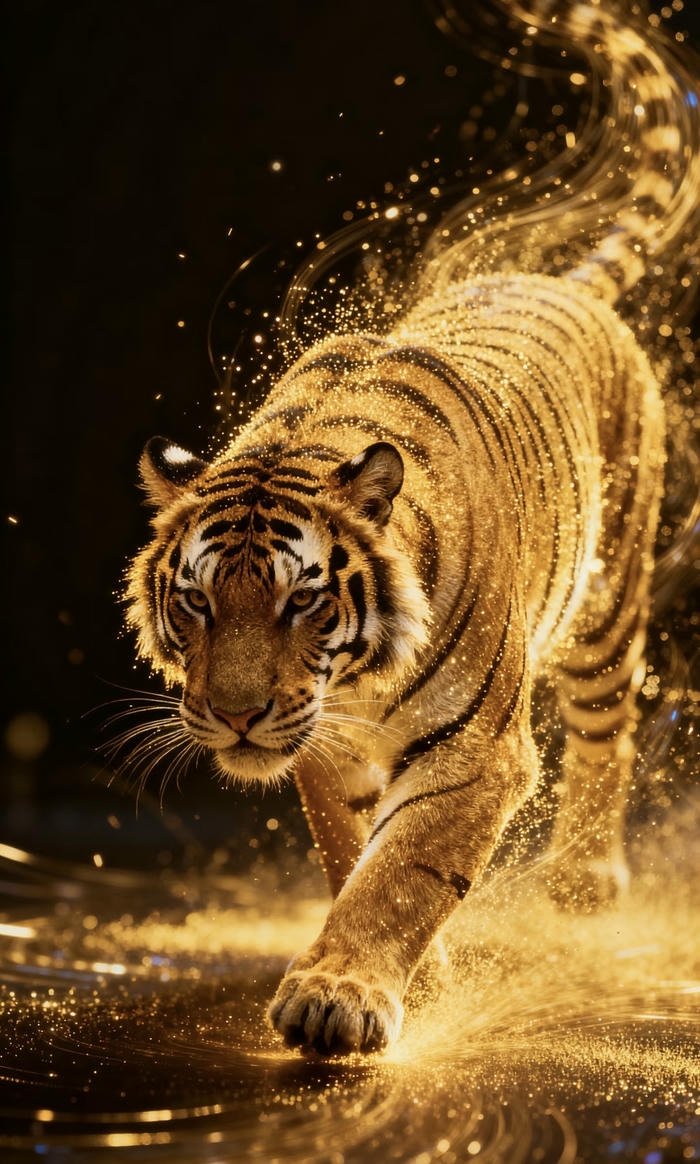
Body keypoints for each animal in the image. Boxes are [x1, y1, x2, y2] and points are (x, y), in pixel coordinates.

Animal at [125, 0, 700, 1056]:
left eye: (301, 601)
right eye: (196, 603)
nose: (234, 716)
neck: (354, 686)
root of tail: (553, 278)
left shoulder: (478, 755)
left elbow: (403, 871)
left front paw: (338, 996)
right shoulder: (327, 750)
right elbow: (357, 857)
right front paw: (414, 977)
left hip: (606, 609)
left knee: (609, 729)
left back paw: (585, 882)